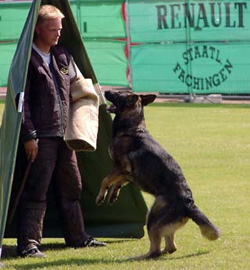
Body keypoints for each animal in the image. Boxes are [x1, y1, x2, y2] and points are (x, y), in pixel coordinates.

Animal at [96, 90, 221, 260]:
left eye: (119, 94)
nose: (106, 91)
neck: (131, 128)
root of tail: (189, 204)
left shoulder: (121, 169)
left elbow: (105, 180)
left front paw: (100, 196)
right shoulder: (127, 174)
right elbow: (116, 183)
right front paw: (113, 194)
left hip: (152, 220)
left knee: (156, 250)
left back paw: (140, 257)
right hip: (157, 218)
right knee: (171, 247)